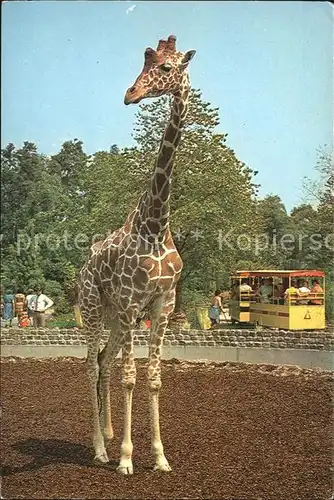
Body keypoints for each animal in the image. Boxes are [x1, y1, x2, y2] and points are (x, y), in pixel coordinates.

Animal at [78, 34, 196, 472]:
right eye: (143, 62)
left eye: (166, 67)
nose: (130, 94)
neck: (155, 226)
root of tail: (84, 264)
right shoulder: (132, 304)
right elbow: (131, 375)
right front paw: (128, 459)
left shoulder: (162, 305)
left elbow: (153, 377)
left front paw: (160, 457)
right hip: (95, 308)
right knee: (90, 364)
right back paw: (100, 448)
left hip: (115, 318)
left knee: (103, 363)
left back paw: (108, 435)